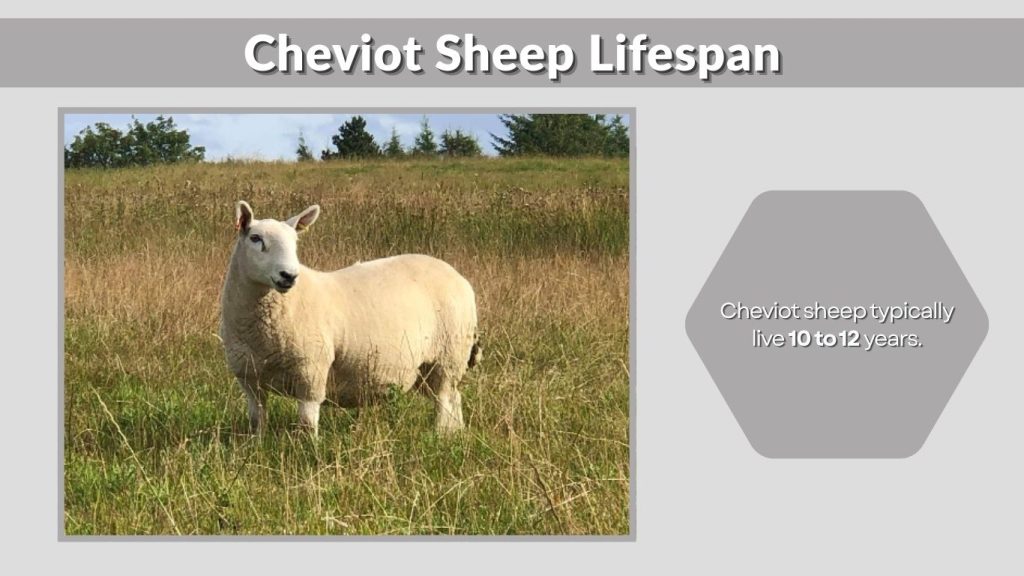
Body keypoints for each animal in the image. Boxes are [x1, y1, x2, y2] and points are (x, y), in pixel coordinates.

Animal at [219, 200, 482, 435]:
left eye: (295, 242)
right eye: (255, 239)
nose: (289, 275)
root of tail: (457, 276)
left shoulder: (311, 372)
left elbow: (307, 423)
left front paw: (308, 450)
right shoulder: (249, 379)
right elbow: (257, 421)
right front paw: (258, 446)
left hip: (448, 356)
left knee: (445, 401)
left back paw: (440, 437)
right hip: (426, 368)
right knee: (454, 399)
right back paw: (455, 435)